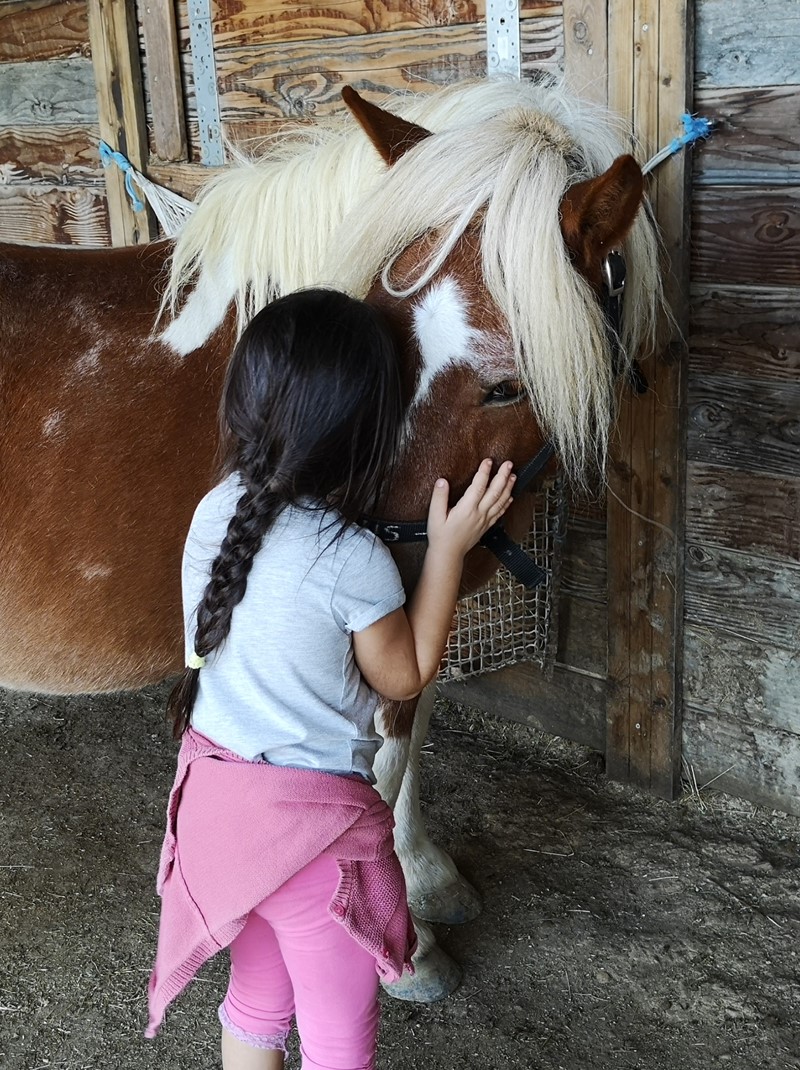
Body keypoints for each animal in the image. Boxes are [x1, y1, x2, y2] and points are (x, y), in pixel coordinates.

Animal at [0, 77, 663, 1001]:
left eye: (504, 386)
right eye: (378, 336)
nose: (370, 541)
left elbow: (411, 740)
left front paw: (424, 874)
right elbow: (376, 766)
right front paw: (403, 947)